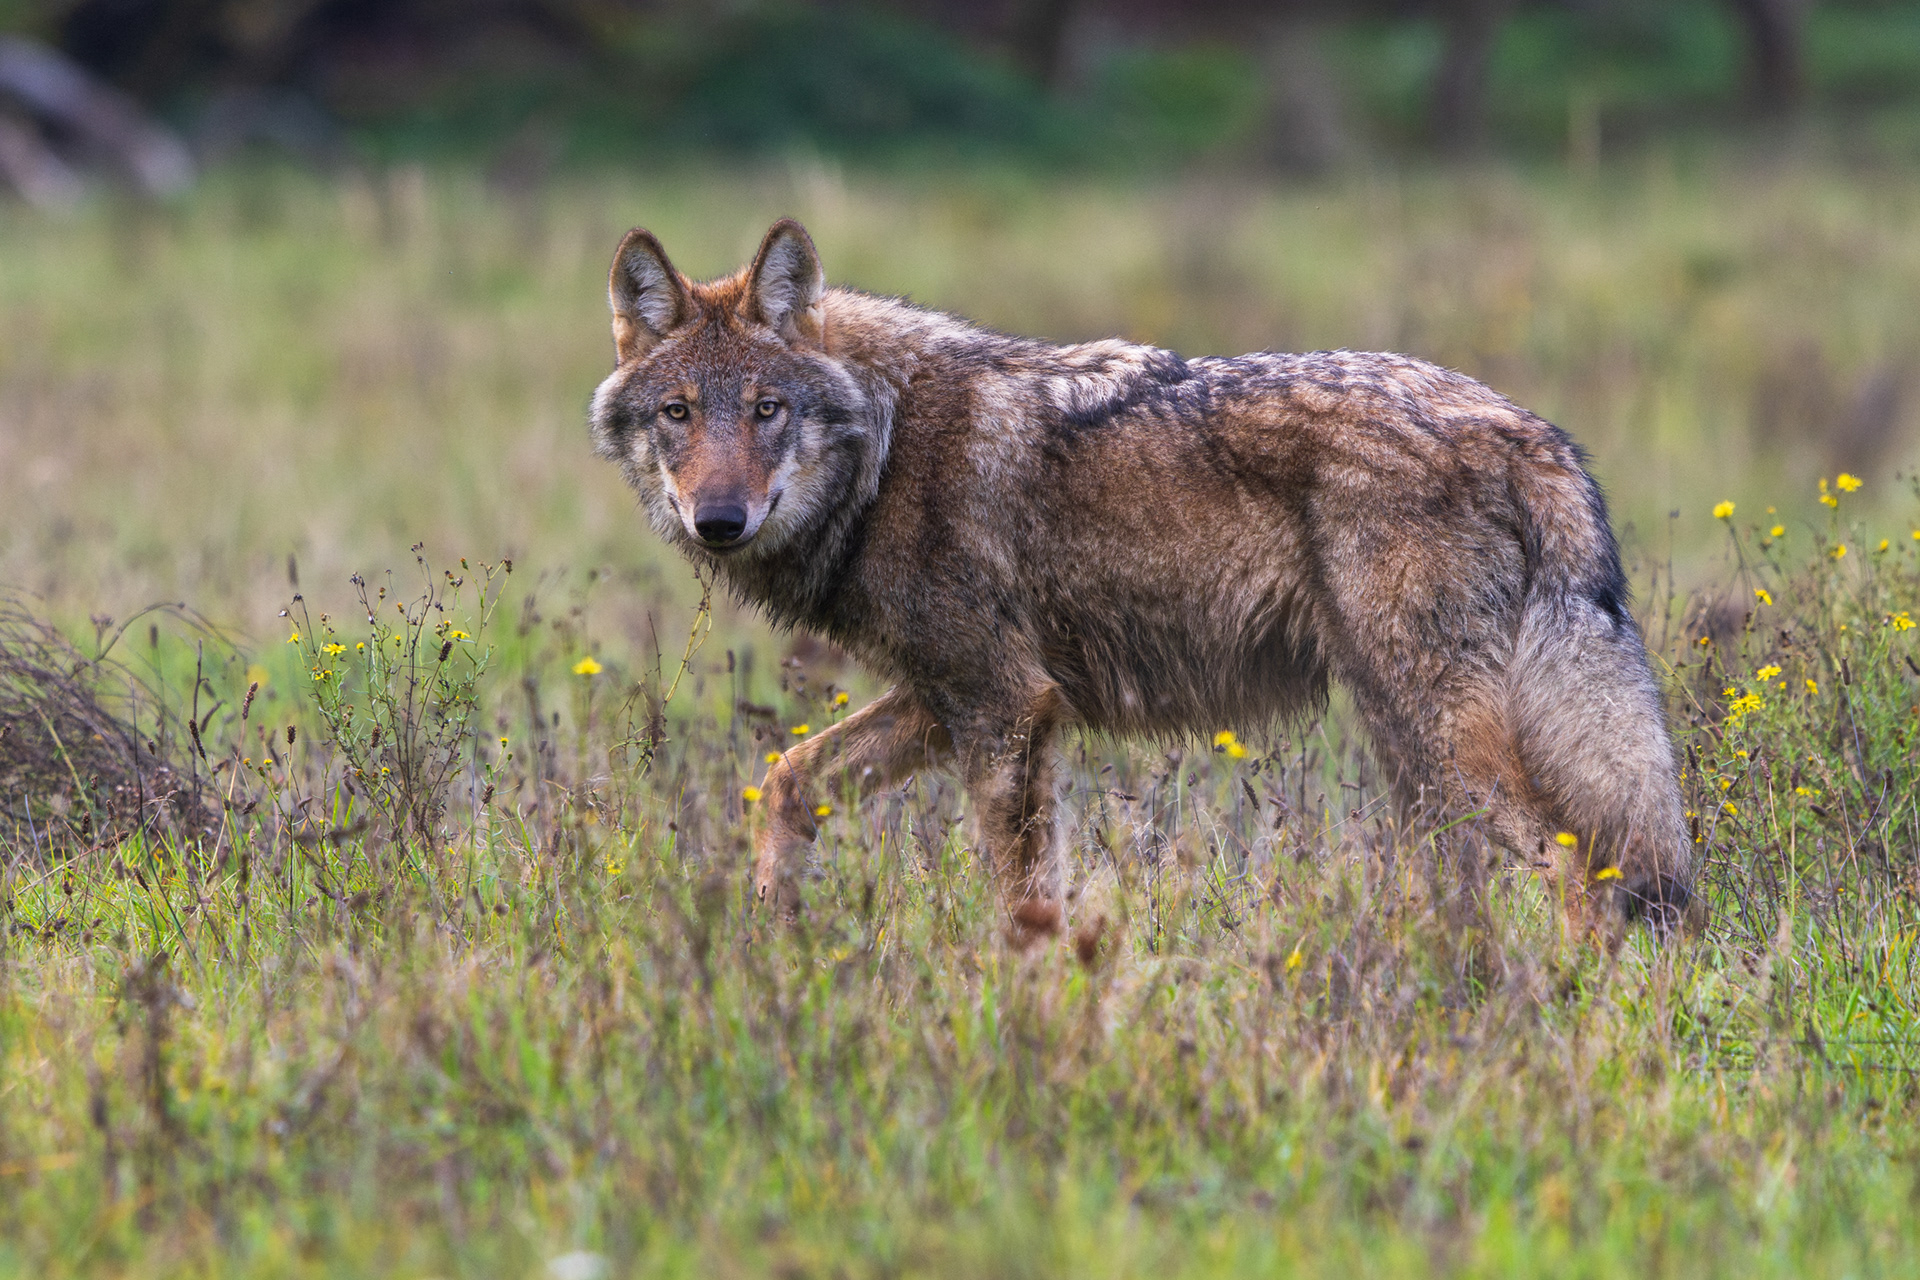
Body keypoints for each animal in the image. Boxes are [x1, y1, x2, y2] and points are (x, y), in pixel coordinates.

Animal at [589, 217, 1693, 945]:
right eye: (679, 413)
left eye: (766, 408)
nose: (719, 520)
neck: (889, 449)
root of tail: (1528, 427)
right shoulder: (948, 701)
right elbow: (786, 779)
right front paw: (774, 935)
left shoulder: (1005, 706)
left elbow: (1024, 904)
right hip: (1414, 754)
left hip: (1439, 740)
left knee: (1582, 872)